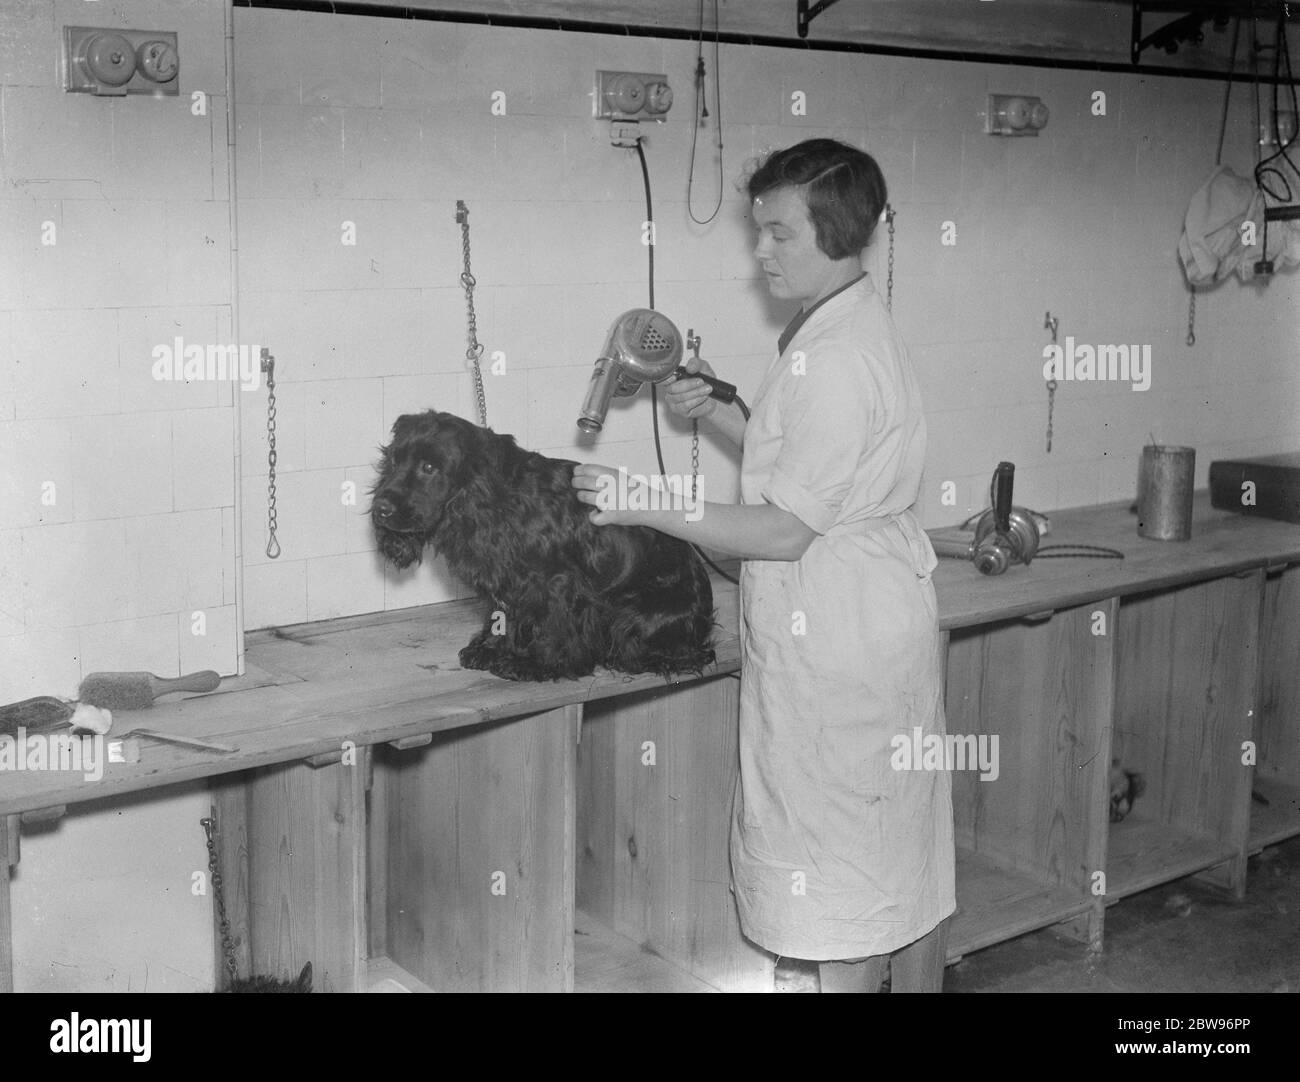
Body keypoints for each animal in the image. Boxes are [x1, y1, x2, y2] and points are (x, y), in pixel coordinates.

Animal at [371, 410, 717, 681]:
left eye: (429, 468)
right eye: (393, 460)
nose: (380, 508)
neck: (495, 497)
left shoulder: (558, 581)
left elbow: (554, 624)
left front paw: (539, 664)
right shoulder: (506, 583)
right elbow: (502, 617)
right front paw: (491, 650)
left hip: (634, 612)